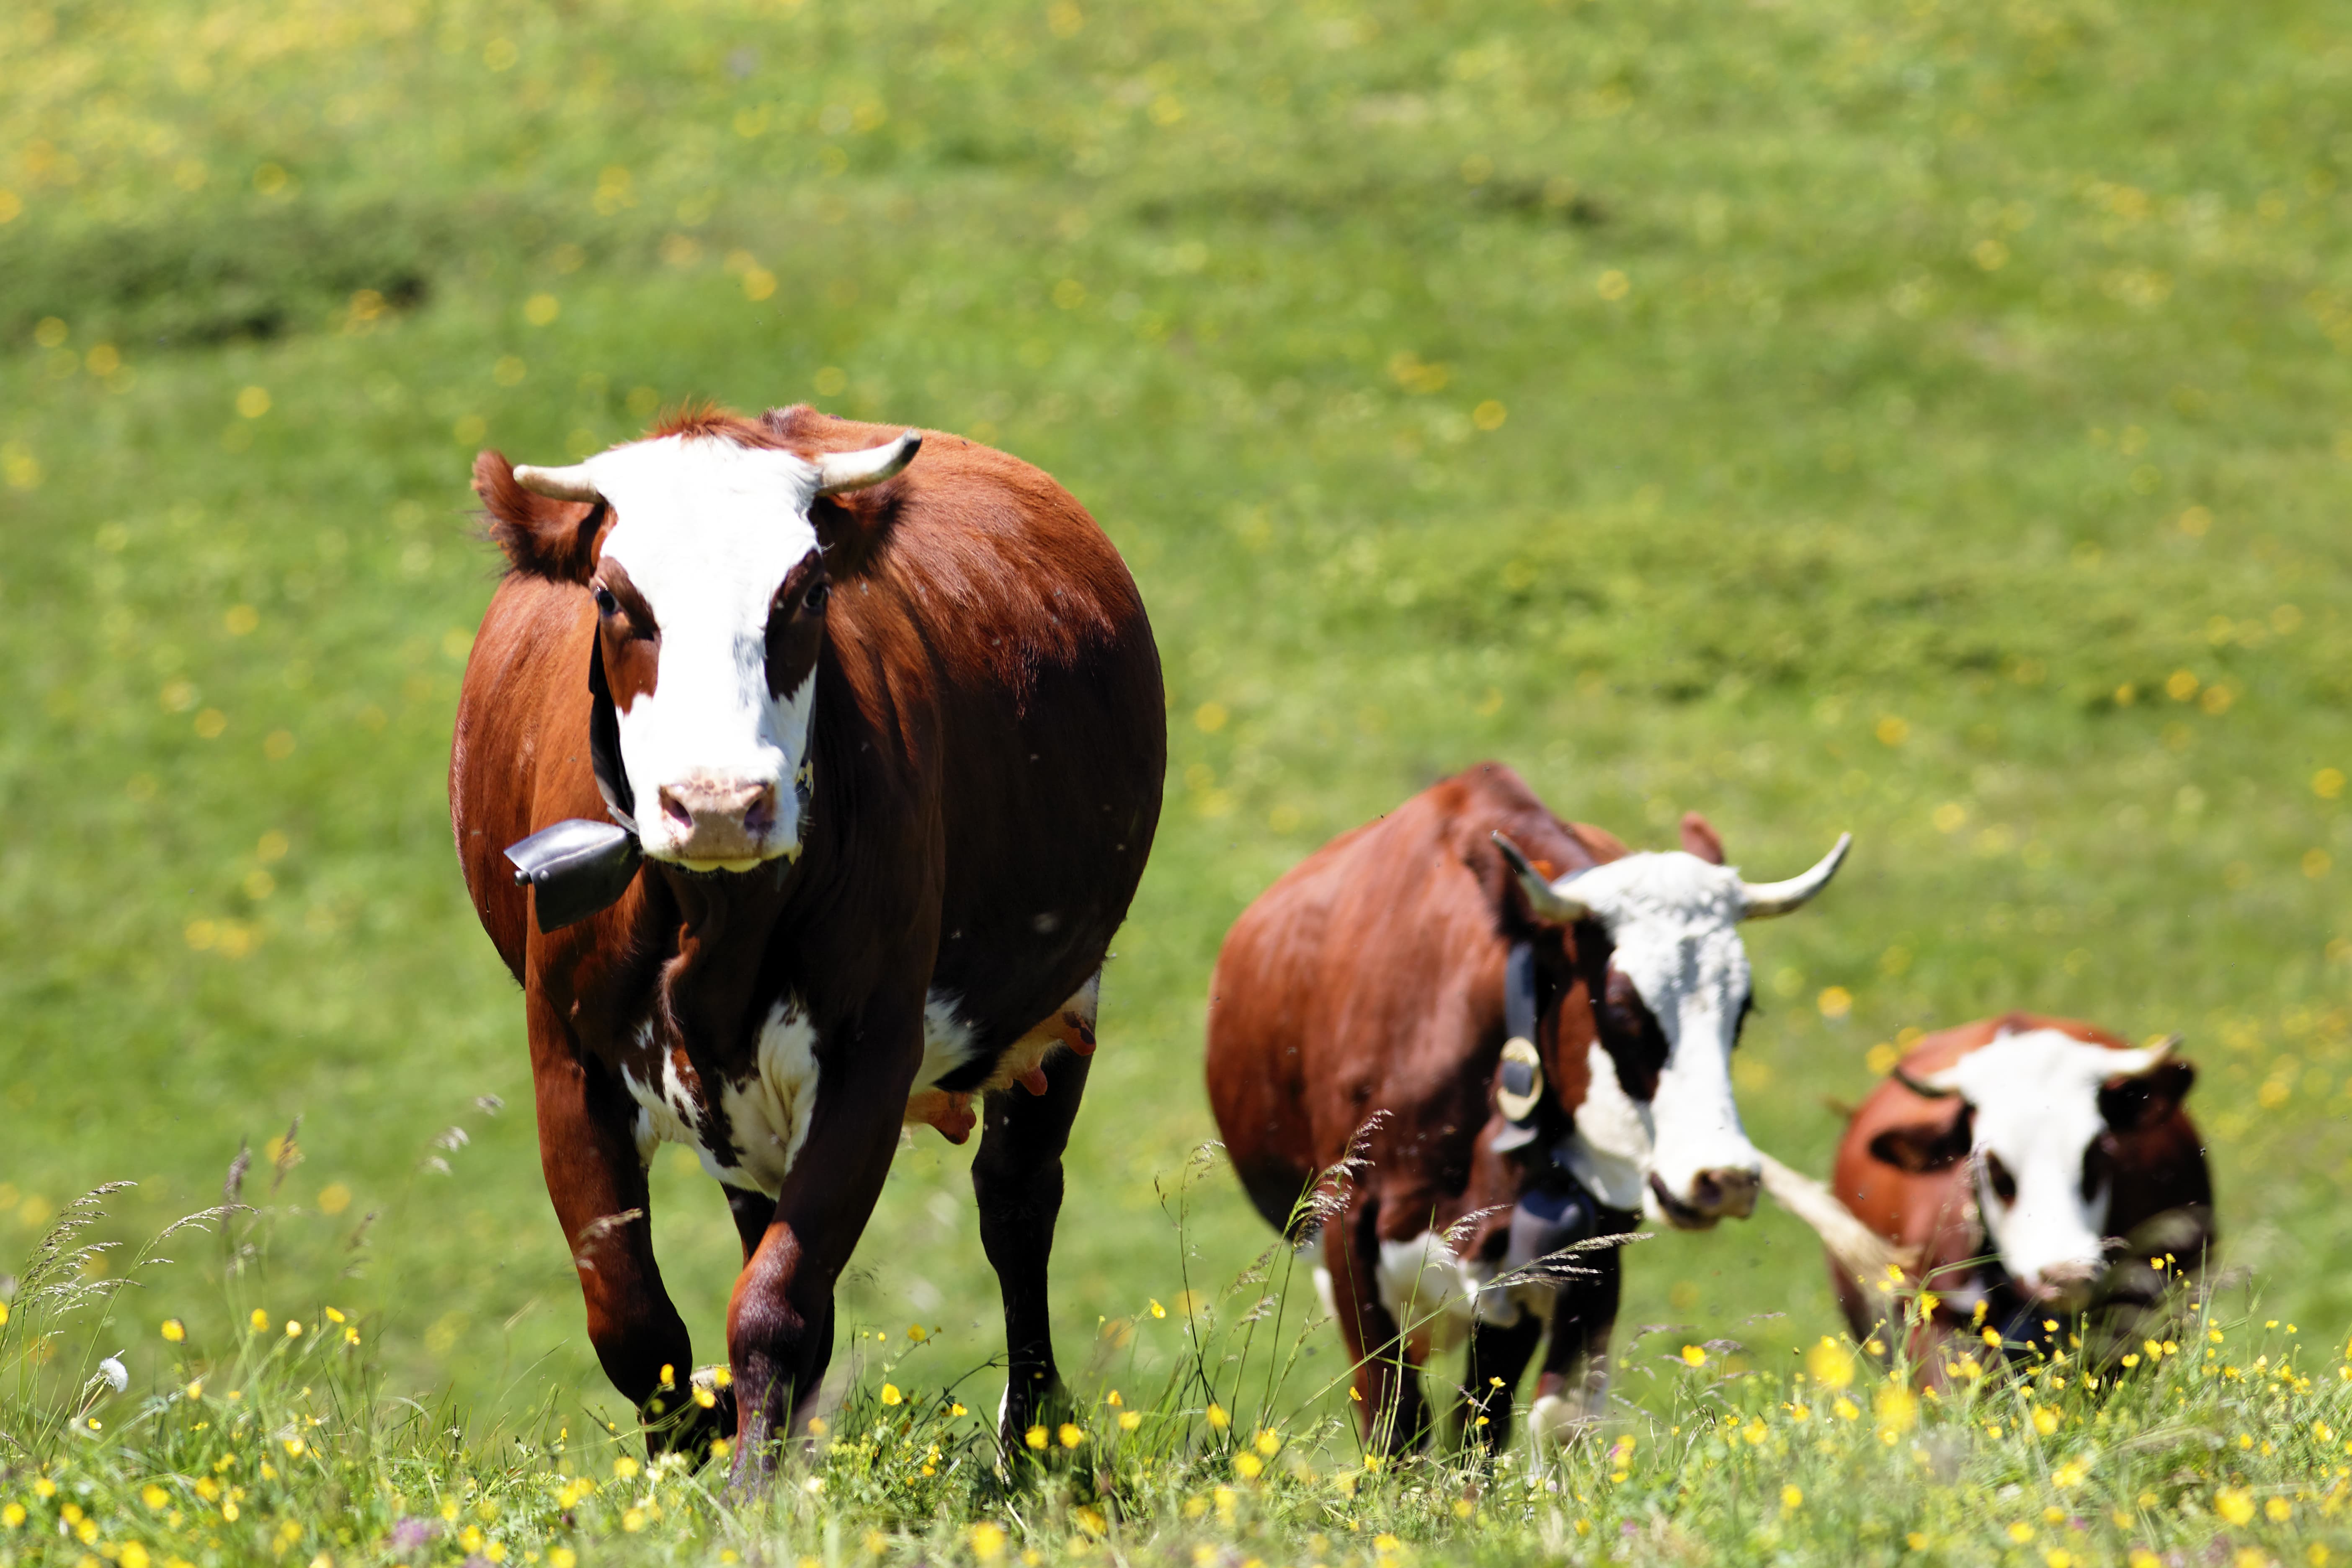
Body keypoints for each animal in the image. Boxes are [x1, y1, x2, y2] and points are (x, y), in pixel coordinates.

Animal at [444, 402, 1162, 1476]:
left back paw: (1033, 1433)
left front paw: (750, 1487)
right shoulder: (567, 1058)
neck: (717, 924)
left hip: (1060, 1003)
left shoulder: (871, 1049)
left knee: (1016, 1204)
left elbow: (779, 1303)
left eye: (808, 590)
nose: (717, 802)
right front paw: (691, 1455)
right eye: (614, 598)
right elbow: (635, 1323)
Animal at [1204, 766, 1844, 1457]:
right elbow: (1394, 1420)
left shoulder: (1573, 1250)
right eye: (1622, 1007)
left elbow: (1527, 1420)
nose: (1723, 1178)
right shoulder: (1349, 1232)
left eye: (1742, 1008)